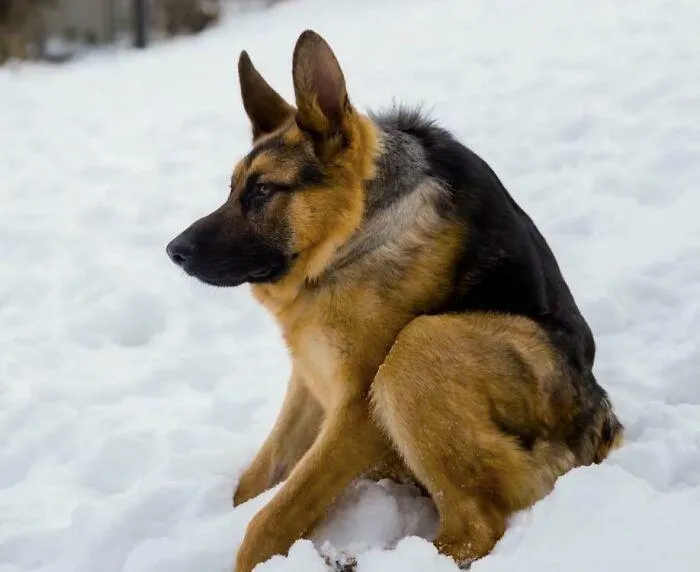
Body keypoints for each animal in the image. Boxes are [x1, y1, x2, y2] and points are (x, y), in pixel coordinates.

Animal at [167, 30, 628, 572]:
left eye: (262, 192)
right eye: (233, 189)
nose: (174, 251)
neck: (355, 232)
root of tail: (598, 427)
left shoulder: (357, 411)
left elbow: (272, 517)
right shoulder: (308, 377)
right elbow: (255, 483)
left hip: (419, 347)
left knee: (476, 525)